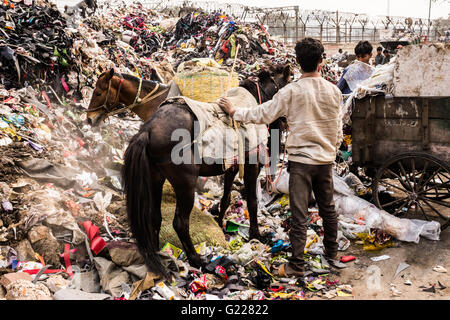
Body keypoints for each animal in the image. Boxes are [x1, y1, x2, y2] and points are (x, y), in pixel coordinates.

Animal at [86, 65, 292, 278]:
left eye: (99, 92)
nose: (89, 119)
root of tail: (147, 131)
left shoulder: (231, 166)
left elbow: (226, 198)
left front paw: (220, 224)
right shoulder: (251, 166)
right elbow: (251, 202)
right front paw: (256, 234)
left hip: (155, 179)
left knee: (154, 216)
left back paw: (159, 253)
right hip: (185, 184)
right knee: (180, 223)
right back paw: (196, 259)